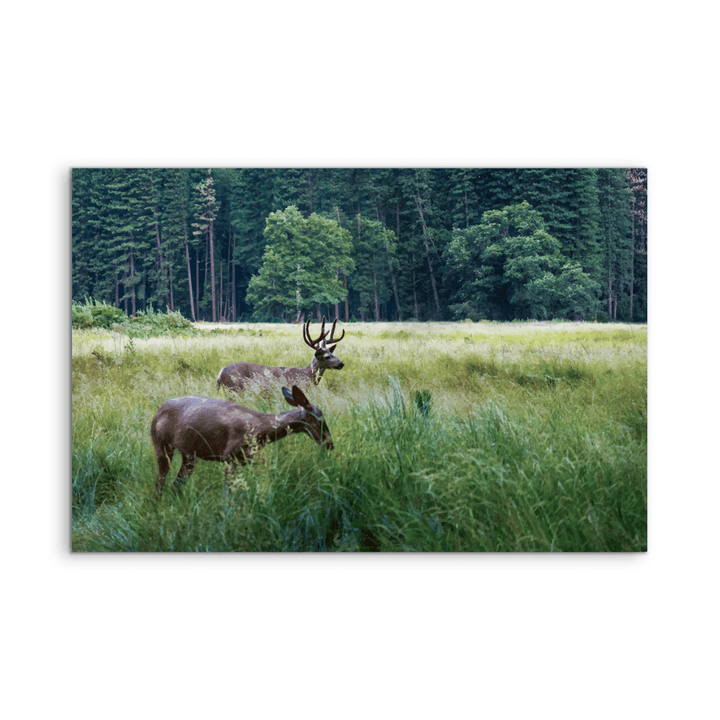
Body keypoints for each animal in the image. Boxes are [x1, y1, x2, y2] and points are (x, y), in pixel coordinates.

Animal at [151, 385, 333, 497]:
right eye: (320, 421)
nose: (330, 444)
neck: (260, 430)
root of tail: (157, 413)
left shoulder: (248, 458)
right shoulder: (229, 456)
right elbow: (227, 493)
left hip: (189, 455)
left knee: (176, 484)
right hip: (161, 444)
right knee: (160, 482)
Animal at [217, 316, 345, 393]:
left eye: (332, 352)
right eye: (326, 356)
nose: (341, 364)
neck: (307, 375)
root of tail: (220, 373)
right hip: (234, 388)